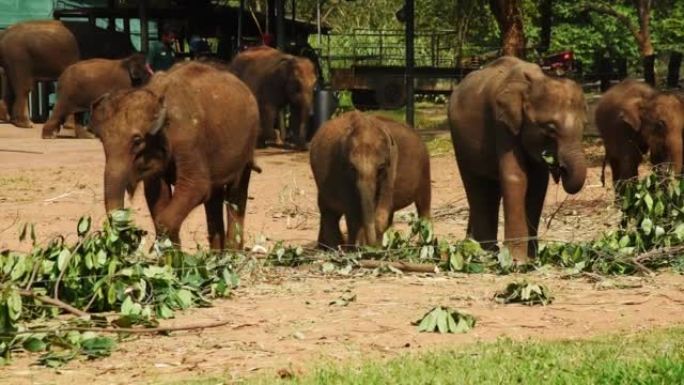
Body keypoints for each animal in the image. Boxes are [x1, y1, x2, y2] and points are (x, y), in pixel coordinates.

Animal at [0, 19, 135, 127]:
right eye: (126, 48)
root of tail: (4, 33)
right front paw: (71, 126)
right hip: (19, 57)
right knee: (24, 87)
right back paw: (26, 124)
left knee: (10, 85)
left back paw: (9, 120)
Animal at [89, 62, 260, 249]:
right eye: (102, 140)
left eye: (137, 141)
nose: (133, 233)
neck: (158, 101)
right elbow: (156, 193)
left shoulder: (190, 141)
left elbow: (196, 187)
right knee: (214, 198)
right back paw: (215, 254)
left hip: (247, 145)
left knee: (235, 194)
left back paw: (231, 252)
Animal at [312, 110, 430, 249]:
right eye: (352, 168)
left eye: (381, 168)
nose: (370, 245)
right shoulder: (341, 170)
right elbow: (352, 213)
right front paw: (356, 249)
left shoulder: (391, 166)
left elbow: (383, 206)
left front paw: (375, 248)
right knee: (327, 210)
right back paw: (331, 248)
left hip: (425, 169)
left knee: (424, 205)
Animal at [448, 56, 588, 260]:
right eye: (550, 128)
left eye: (584, 126)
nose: (560, 168)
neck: (535, 80)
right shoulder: (502, 123)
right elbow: (516, 177)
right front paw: (517, 261)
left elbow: (538, 184)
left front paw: (532, 258)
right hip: (460, 142)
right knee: (476, 185)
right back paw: (486, 252)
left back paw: (476, 247)